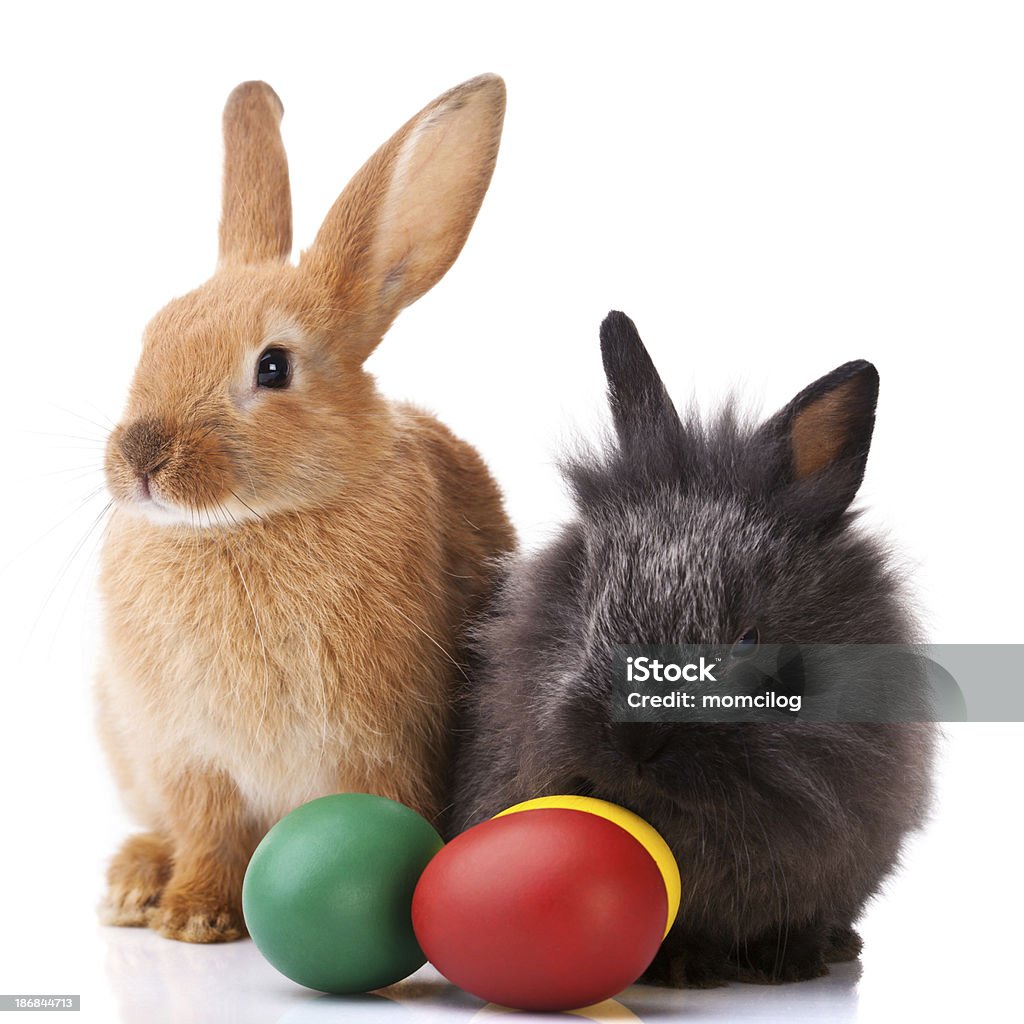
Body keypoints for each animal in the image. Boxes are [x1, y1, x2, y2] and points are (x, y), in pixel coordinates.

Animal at [96, 75, 512, 942]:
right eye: (152, 336)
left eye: (274, 367)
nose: (141, 459)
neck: (246, 525)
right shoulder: (190, 755)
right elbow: (209, 833)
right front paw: (193, 918)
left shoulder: (379, 748)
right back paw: (133, 885)